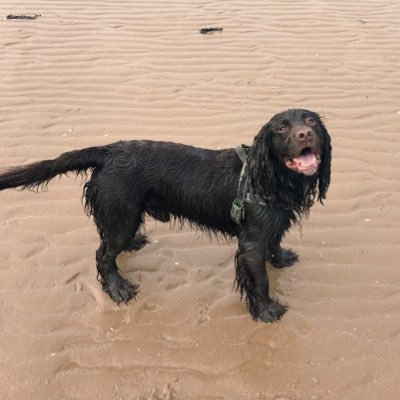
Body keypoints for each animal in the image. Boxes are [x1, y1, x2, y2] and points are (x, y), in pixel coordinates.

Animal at [0, 108, 332, 322]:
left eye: (311, 121)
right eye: (282, 128)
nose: (305, 133)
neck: (270, 177)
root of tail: (109, 151)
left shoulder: (273, 226)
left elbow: (275, 244)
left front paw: (282, 259)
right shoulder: (251, 243)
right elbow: (260, 280)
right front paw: (266, 311)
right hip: (121, 215)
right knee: (103, 254)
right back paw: (118, 288)